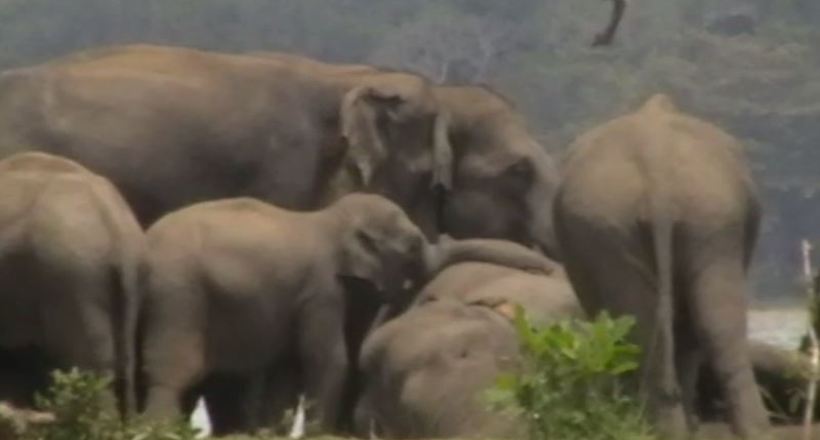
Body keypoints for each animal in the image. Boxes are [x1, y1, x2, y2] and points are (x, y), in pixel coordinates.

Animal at [138, 192, 556, 434]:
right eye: (413, 246)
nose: (545, 269)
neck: (329, 218)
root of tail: (147, 244)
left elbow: (287, 372)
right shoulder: (321, 288)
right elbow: (329, 360)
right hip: (179, 294)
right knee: (173, 373)